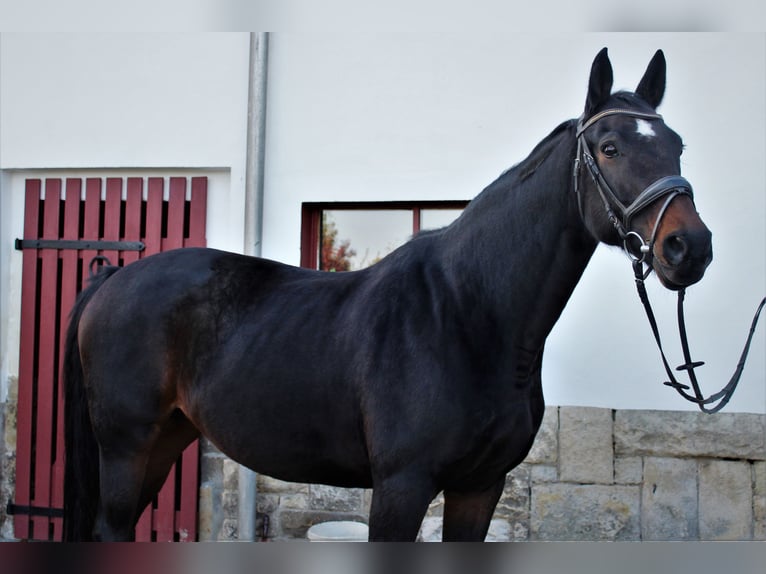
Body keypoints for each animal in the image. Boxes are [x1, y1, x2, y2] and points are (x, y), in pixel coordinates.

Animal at [64, 47, 712, 544]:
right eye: (609, 147)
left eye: (678, 145)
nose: (689, 248)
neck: (469, 315)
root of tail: (114, 279)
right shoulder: (401, 487)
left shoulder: (480, 486)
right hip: (126, 445)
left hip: (165, 440)